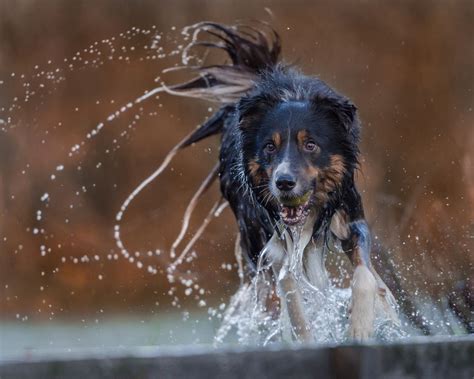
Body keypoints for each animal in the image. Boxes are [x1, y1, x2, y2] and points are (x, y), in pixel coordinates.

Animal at [167, 21, 400, 342]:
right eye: (269, 147)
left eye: (311, 145)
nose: (284, 182)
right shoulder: (269, 239)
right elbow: (289, 289)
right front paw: (306, 335)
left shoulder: (350, 217)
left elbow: (363, 273)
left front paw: (362, 324)